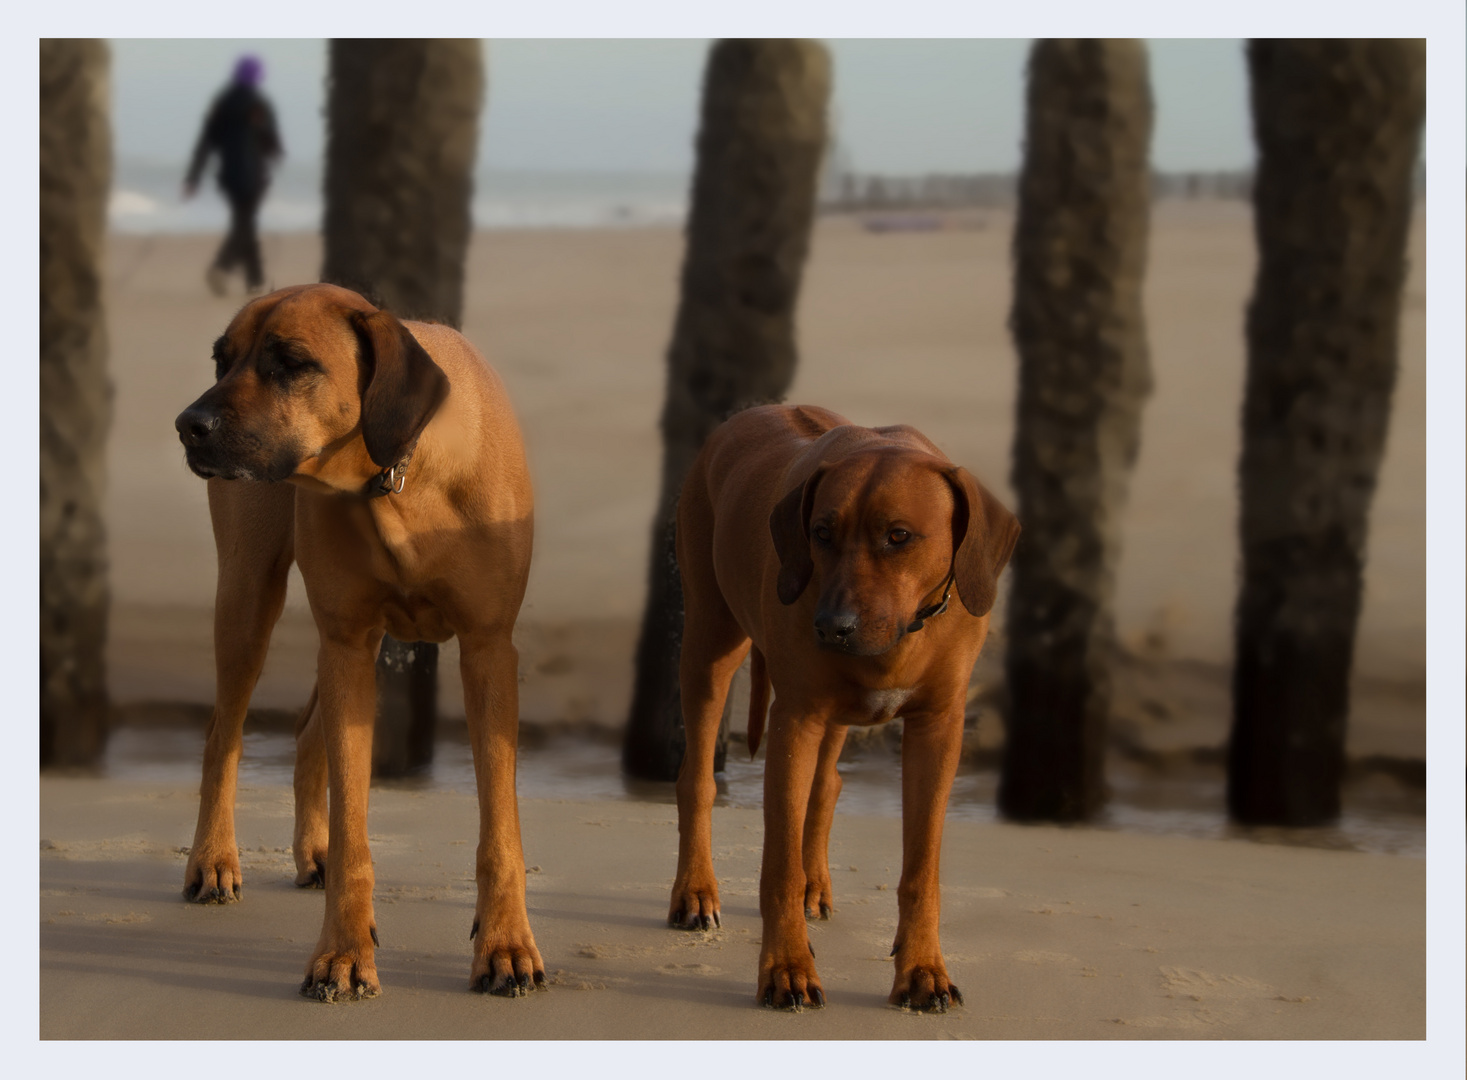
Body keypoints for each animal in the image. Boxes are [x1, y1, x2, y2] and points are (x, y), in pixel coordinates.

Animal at [176, 283, 545, 997]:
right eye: (221, 360)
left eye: (291, 362)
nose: (187, 424)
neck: (397, 471)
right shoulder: (346, 640)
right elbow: (355, 830)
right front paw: (344, 953)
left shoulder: (487, 647)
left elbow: (502, 829)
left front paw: (506, 947)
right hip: (249, 598)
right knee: (222, 735)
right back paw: (213, 860)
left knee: (305, 733)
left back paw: (308, 852)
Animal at [671, 402, 1015, 1009]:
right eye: (821, 533)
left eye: (899, 536)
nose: (832, 627)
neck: (904, 635)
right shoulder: (797, 719)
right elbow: (778, 867)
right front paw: (786, 969)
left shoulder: (938, 727)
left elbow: (921, 869)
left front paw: (922, 970)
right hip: (711, 641)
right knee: (698, 777)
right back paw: (695, 891)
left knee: (825, 784)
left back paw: (817, 883)